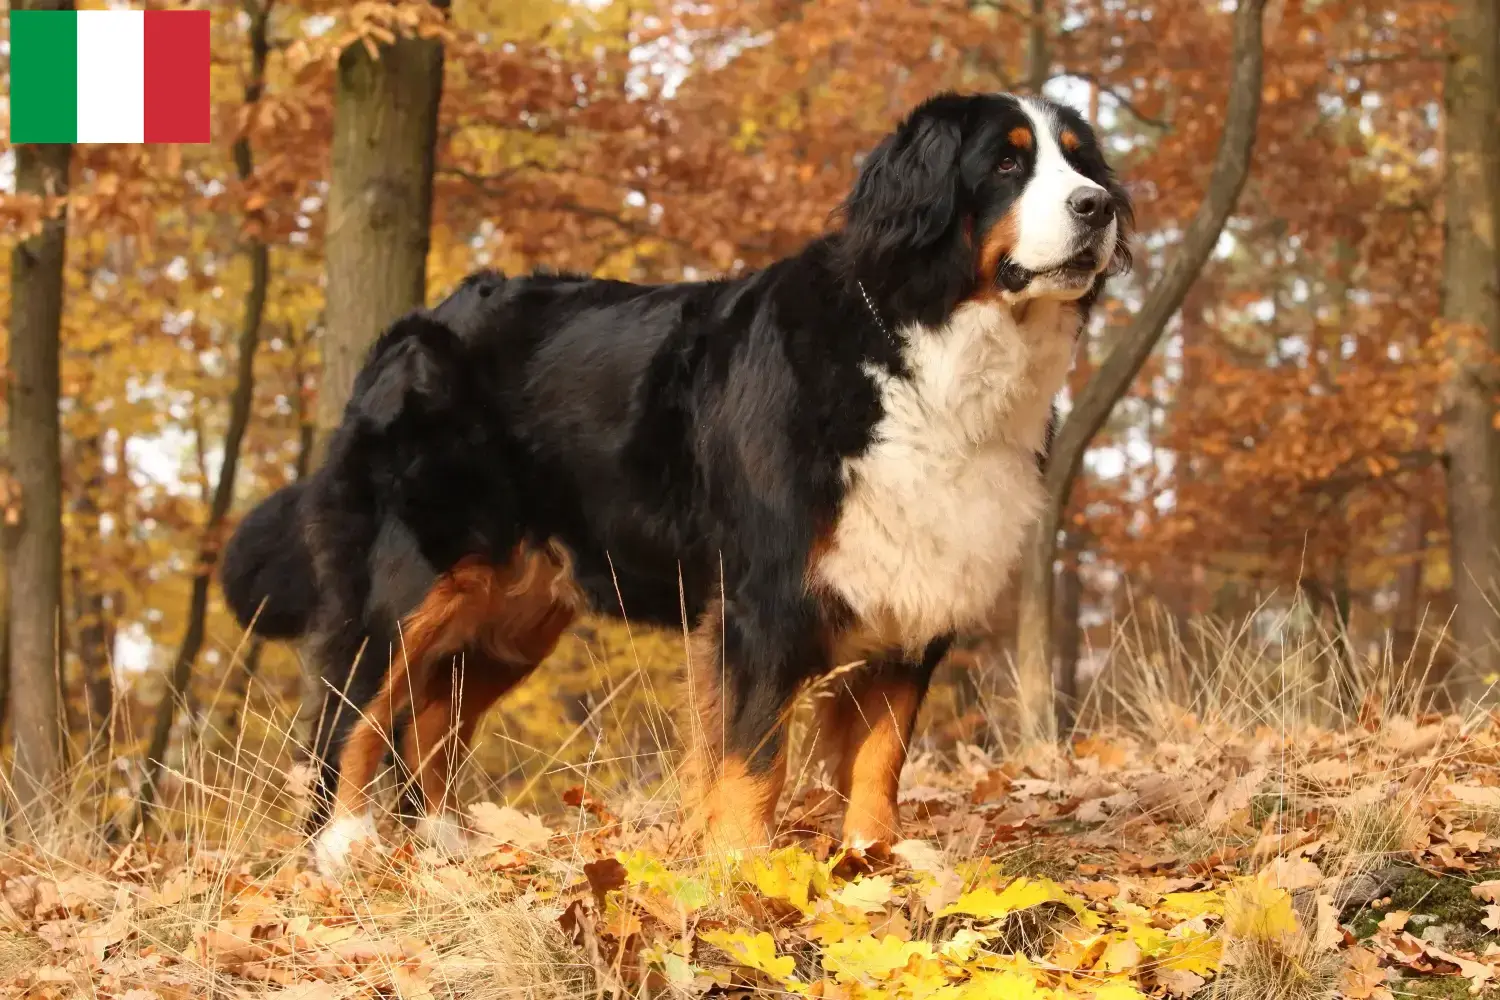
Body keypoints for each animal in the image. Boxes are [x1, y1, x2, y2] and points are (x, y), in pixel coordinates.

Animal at [222, 89, 1128, 869]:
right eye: (1007, 163)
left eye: (1081, 161)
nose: (1099, 207)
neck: (925, 352)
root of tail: (413, 324)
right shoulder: (764, 603)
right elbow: (754, 759)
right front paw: (744, 873)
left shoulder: (914, 590)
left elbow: (880, 757)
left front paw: (874, 862)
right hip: (416, 576)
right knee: (351, 708)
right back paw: (341, 847)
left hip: (511, 615)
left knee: (434, 720)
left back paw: (444, 847)